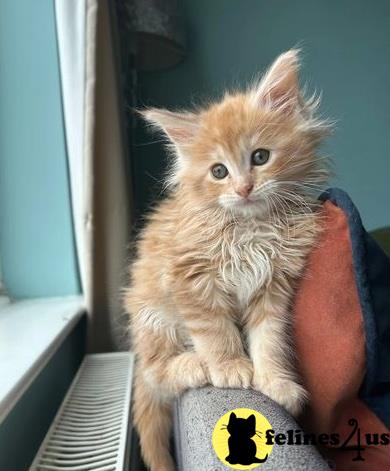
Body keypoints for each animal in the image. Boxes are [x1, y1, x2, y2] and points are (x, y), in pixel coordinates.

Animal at [124, 50, 330, 471]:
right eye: (218, 171)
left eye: (260, 157)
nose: (244, 188)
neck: (251, 228)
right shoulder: (191, 280)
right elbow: (215, 332)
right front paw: (230, 368)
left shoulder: (275, 285)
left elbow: (270, 338)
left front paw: (275, 382)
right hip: (153, 315)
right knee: (154, 372)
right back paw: (193, 365)